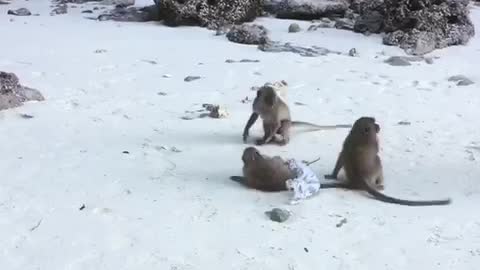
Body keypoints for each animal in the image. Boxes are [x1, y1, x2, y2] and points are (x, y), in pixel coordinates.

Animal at [324, 116, 452, 207]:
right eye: (374, 123)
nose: (378, 125)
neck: (359, 133)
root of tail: (358, 181)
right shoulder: (374, 141)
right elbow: (375, 152)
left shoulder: (348, 140)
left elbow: (341, 156)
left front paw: (332, 175)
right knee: (378, 160)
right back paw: (378, 185)